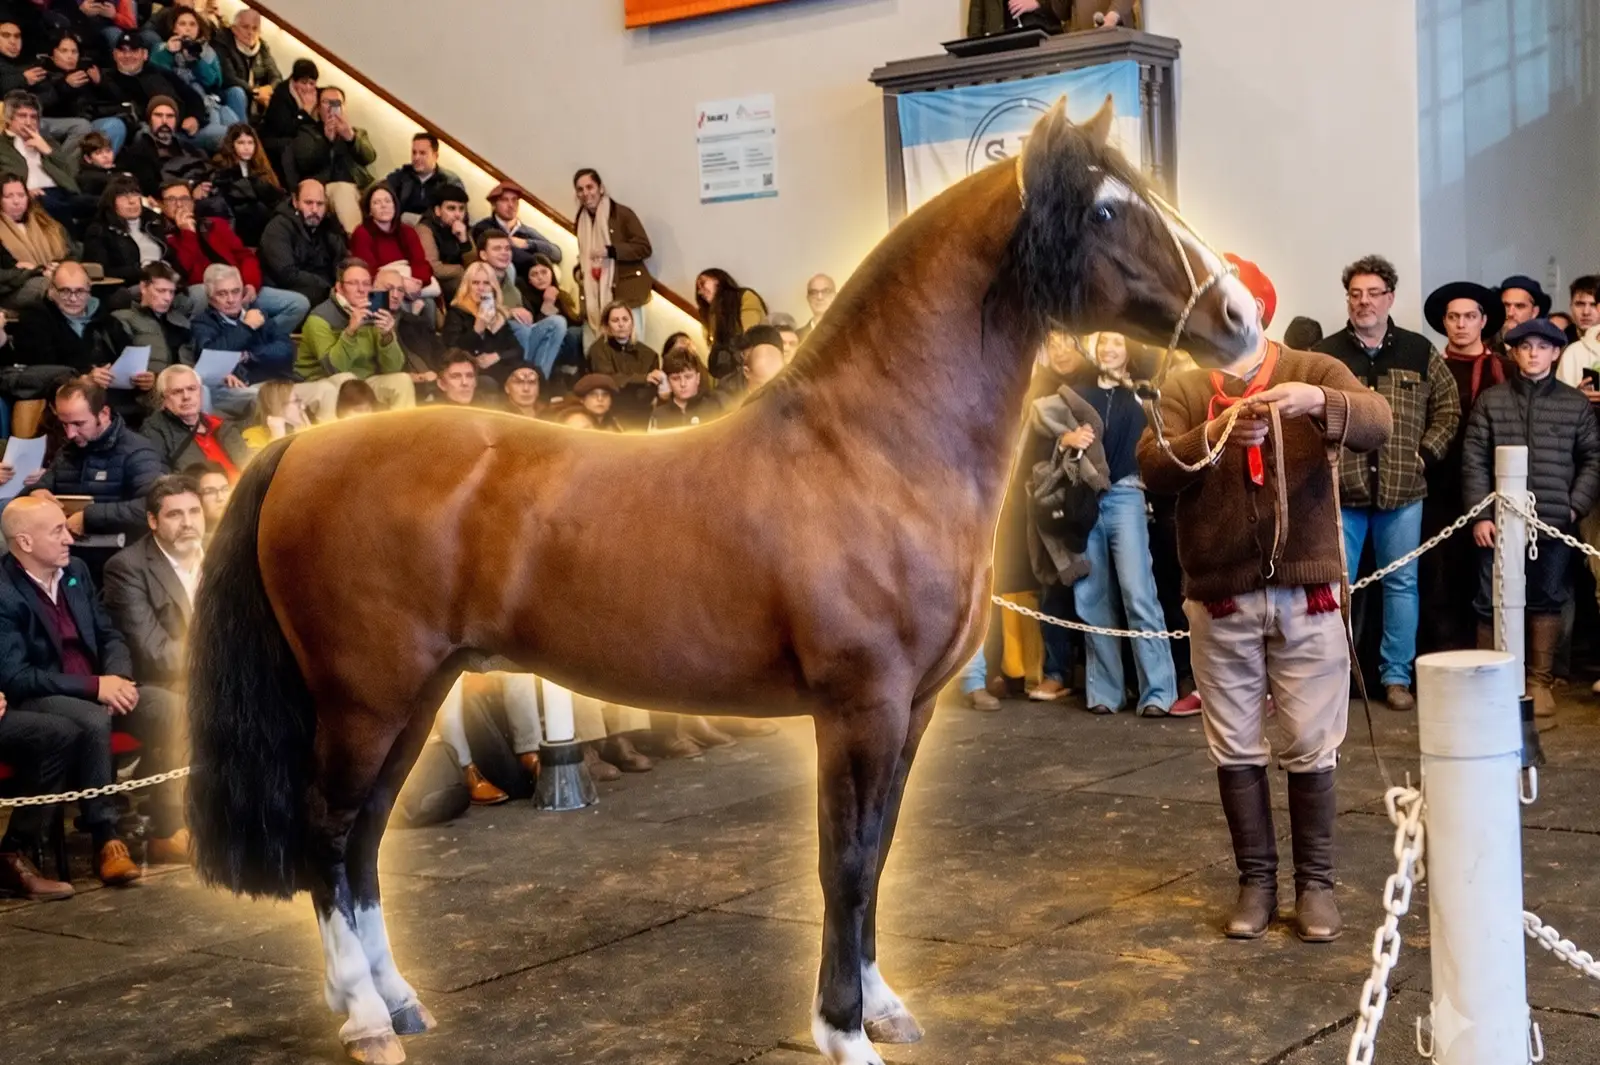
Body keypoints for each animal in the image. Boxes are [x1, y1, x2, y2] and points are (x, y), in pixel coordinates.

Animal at [185, 98, 1259, 1065]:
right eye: (1109, 210)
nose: (1244, 315)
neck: (871, 448)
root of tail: (300, 450)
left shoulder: (911, 709)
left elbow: (878, 854)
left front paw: (882, 1006)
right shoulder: (860, 707)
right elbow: (845, 862)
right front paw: (842, 1032)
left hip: (415, 693)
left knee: (363, 838)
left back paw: (398, 1001)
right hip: (365, 698)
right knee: (328, 833)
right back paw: (365, 1017)